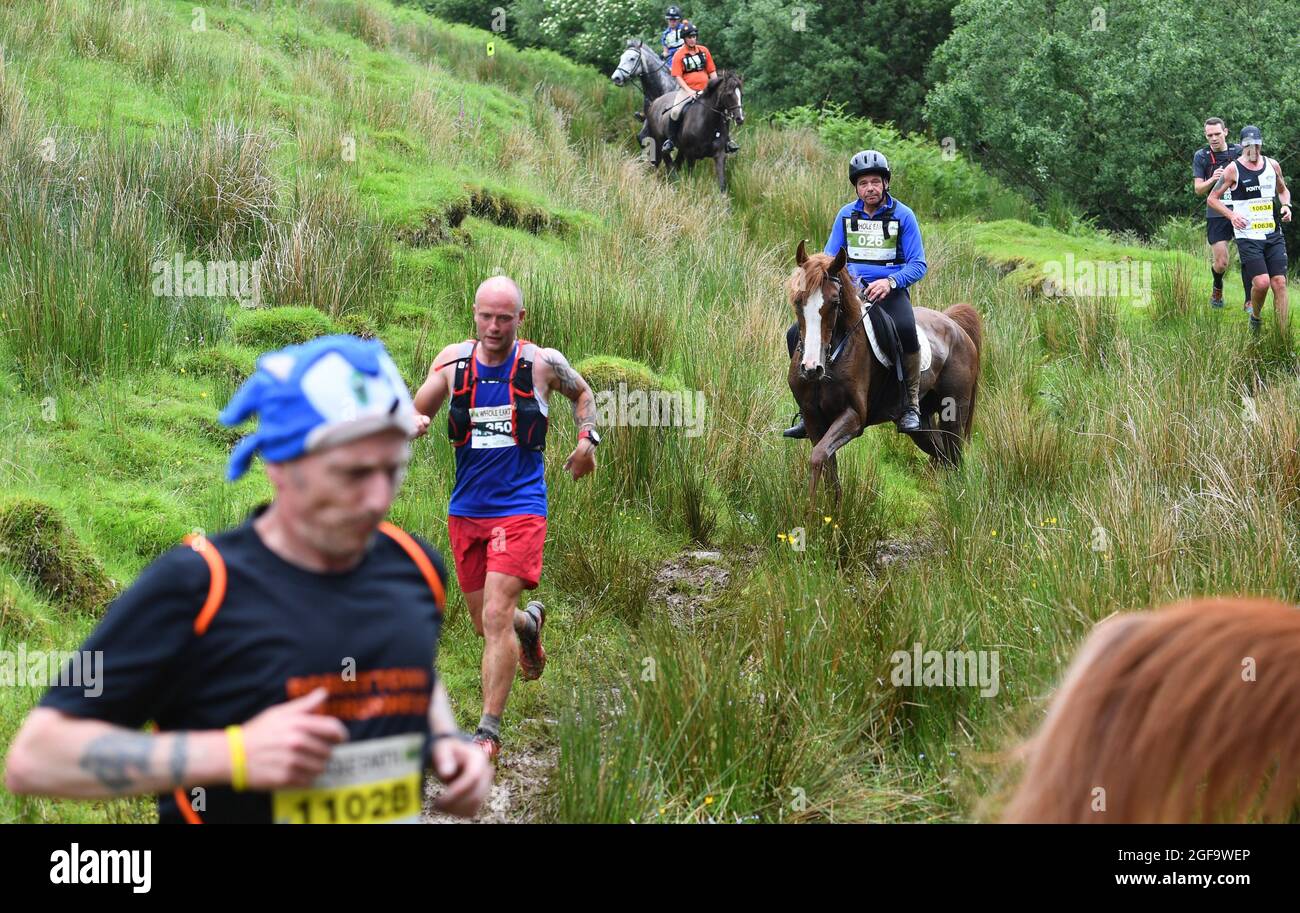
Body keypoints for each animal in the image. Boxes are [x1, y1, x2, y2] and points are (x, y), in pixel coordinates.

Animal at [785, 243, 977, 507]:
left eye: (834, 302)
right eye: (798, 301)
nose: (812, 368)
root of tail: (955, 326)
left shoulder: (854, 417)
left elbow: (818, 457)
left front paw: (810, 511)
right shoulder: (813, 418)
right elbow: (828, 468)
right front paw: (832, 511)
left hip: (954, 413)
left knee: (955, 457)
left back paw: (957, 503)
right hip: (922, 426)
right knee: (942, 455)